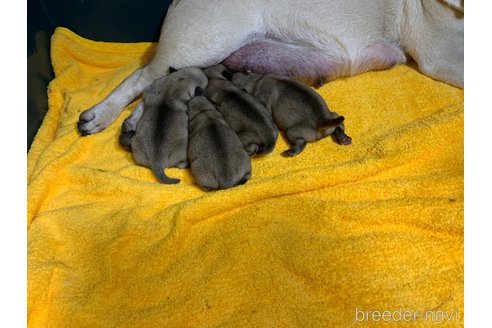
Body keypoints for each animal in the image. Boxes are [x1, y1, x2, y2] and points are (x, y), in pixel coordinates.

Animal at [76, 0, 462, 136]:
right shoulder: (442, 50)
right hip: (204, 43)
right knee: (142, 77)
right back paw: (101, 115)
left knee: (160, 85)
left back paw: (134, 122)